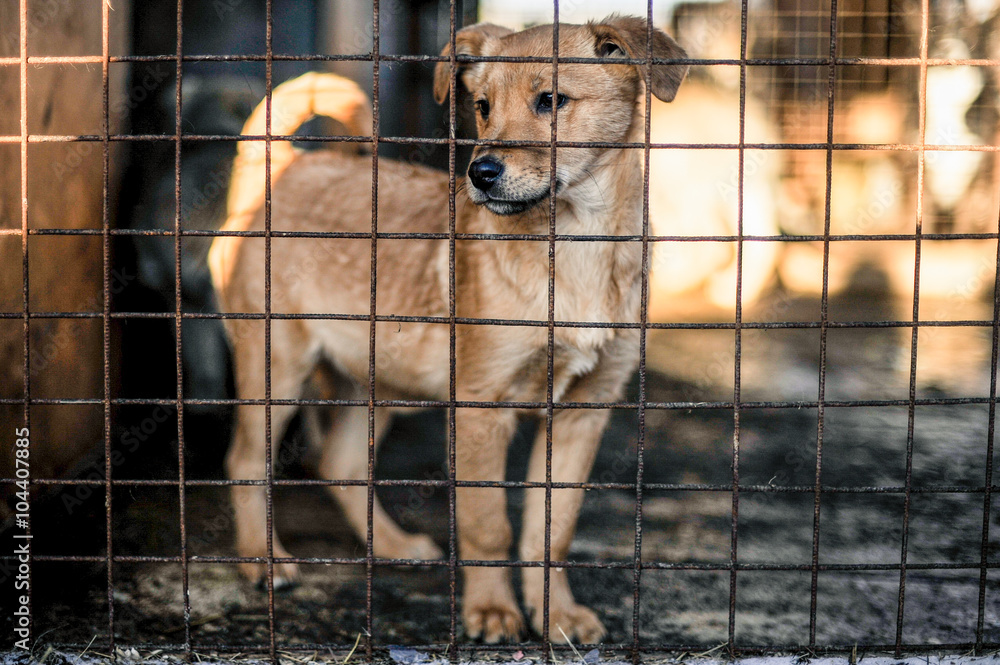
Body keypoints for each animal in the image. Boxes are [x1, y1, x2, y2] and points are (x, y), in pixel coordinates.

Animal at [211, 16, 688, 644]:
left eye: (551, 100)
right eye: (482, 107)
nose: (479, 174)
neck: (575, 245)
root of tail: (279, 169)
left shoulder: (585, 409)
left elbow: (551, 528)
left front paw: (557, 615)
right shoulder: (481, 407)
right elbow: (489, 525)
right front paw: (493, 611)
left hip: (375, 380)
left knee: (339, 465)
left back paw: (393, 546)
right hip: (276, 365)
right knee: (245, 461)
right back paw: (264, 562)